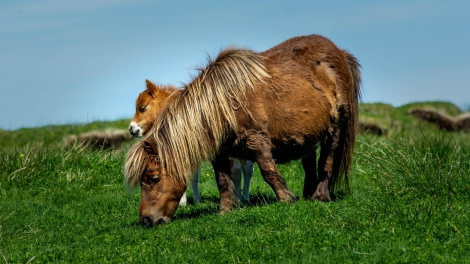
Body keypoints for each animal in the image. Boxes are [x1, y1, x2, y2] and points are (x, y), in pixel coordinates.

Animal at [124, 34, 360, 227]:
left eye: (154, 178)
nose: (146, 220)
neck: (223, 104)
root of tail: (339, 53)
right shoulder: (220, 153)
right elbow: (223, 182)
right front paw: (225, 211)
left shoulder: (257, 142)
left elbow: (268, 172)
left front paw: (286, 200)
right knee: (309, 163)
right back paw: (308, 195)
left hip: (335, 128)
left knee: (327, 160)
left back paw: (320, 196)